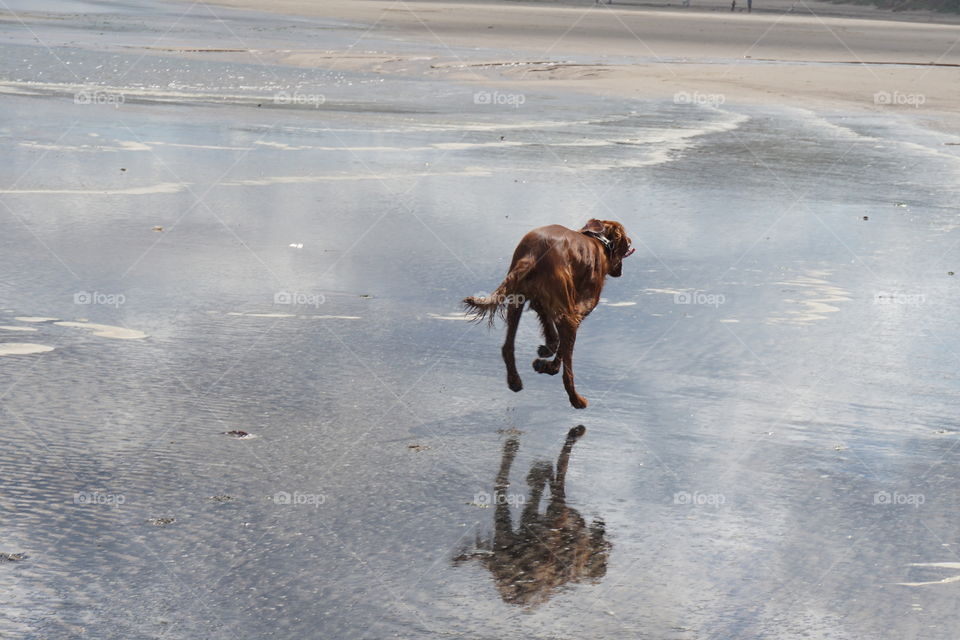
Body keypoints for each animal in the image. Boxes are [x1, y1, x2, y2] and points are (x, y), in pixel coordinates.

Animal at [464, 220, 632, 410]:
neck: (599, 240)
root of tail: (534, 253)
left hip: (516, 299)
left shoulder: (539, 301)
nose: (630, 242)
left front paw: (547, 349)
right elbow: (562, 350)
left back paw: (514, 381)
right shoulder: (577, 311)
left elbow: (550, 330)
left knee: (507, 346)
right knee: (567, 374)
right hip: (565, 313)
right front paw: (548, 366)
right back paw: (576, 399)